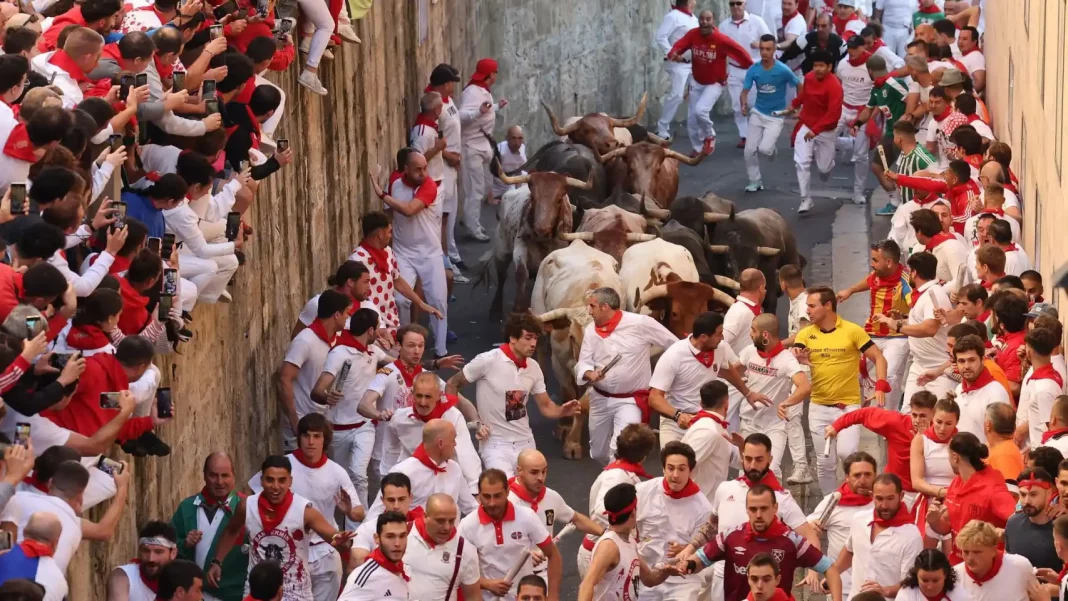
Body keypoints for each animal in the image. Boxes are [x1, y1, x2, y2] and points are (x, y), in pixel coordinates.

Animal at [474, 169, 593, 318]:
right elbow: (521, 273)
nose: (541, 228)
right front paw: (518, 308)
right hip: (502, 249)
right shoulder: (520, 245)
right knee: (502, 275)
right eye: (533, 198)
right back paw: (495, 310)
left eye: (559, 200)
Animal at [529, 240, 623, 461]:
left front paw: (573, 441)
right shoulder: (559, 361)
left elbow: (584, 402)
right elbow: (568, 392)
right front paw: (564, 428)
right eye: (572, 337)